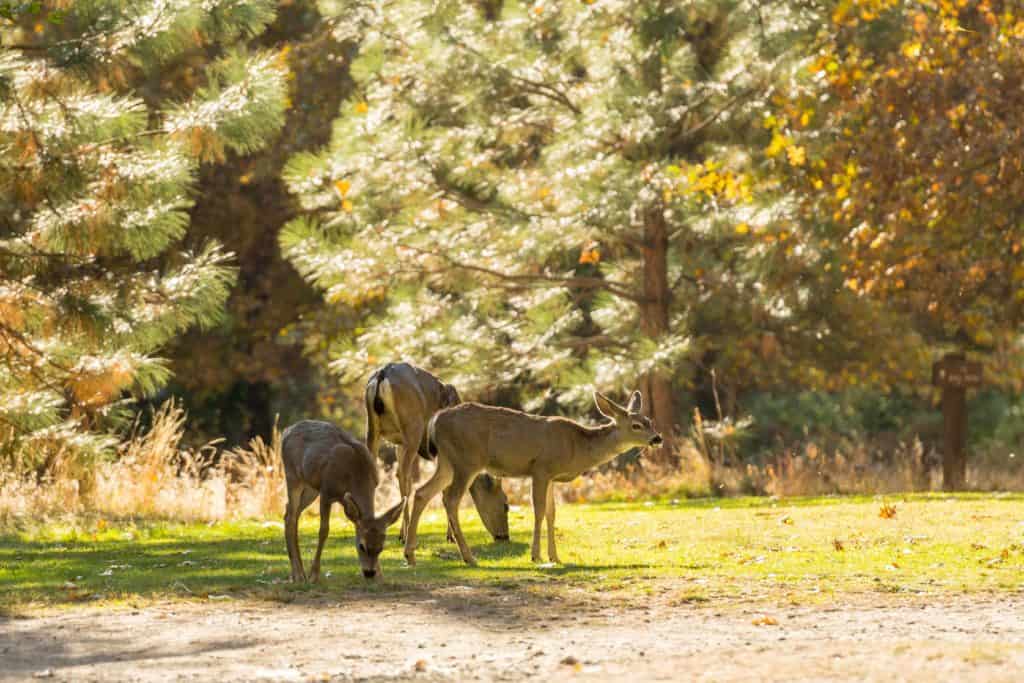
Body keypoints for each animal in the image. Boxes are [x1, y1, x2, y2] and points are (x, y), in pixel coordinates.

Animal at [284, 419, 407, 581]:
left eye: (381, 547)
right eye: (361, 546)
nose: (369, 573)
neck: (354, 475)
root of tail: (286, 431)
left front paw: (380, 575)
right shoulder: (326, 491)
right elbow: (323, 531)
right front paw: (314, 575)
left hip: (310, 487)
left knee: (291, 513)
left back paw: (297, 573)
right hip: (292, 475)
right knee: (291, 517)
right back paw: (298, 574)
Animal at [368, 362, 512, 544]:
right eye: (505, 505)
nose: (504, 536)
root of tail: (383, 374)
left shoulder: (399, 444)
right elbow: (445, 488)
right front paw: (450, 536)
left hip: (374, 429)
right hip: (412, 428)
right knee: (402, 474)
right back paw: (406, 534)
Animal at [403, 389, 659, 565]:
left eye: (649, 421)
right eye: (636, 425)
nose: (658, 438)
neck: (577, 447)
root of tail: (435, 420)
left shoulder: (552, 478)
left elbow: (552, 514)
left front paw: (555, 557)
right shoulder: (541, 469)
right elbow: (538, 511)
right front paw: (536, 556)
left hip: (447, 461)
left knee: (422, 492)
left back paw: (410, 555)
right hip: (466, 460)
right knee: (450, 499)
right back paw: (468, 557)